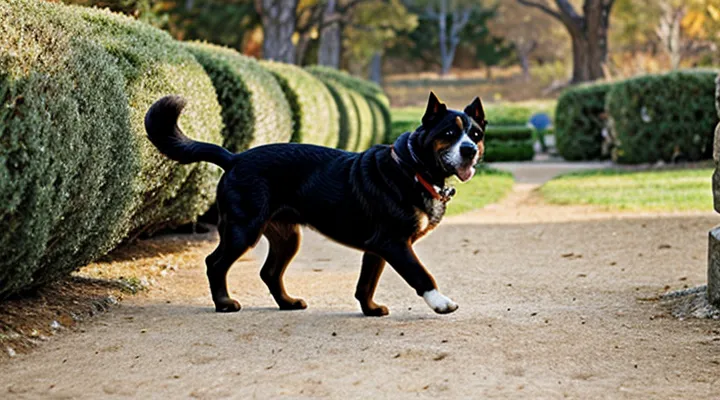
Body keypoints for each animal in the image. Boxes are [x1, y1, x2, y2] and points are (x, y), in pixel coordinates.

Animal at [144, 92, 486, 318]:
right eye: (449, 133)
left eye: (476, 133)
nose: (469, 150)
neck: (413, 169)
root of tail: (234, 158)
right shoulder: (394, 243)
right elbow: (420, 275)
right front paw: (441, 302)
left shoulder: (377, 248)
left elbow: (366, 283)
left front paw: (370, 309)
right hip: (243, 229)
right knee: (215, 263)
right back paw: (224, 304)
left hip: (286, 236)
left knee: (270, 272)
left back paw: (287, 303)